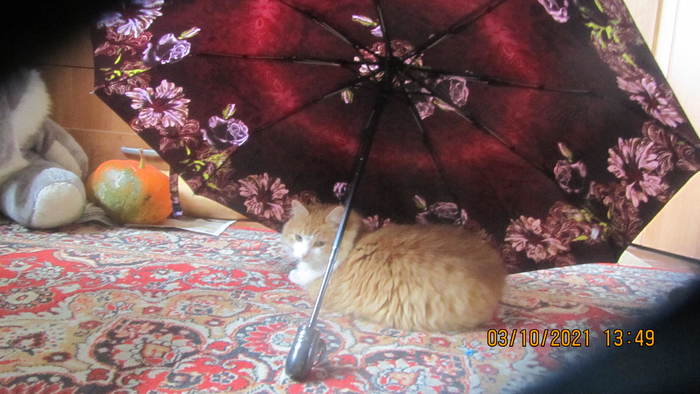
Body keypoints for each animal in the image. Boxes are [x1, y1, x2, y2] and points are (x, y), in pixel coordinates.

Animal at [282, 200, 506, 332]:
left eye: (319, 243)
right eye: (298, 237)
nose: (303, 254)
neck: (355, 243)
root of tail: (496, 272)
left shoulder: (318, 283)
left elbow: (300, 277)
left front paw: (294, 273)